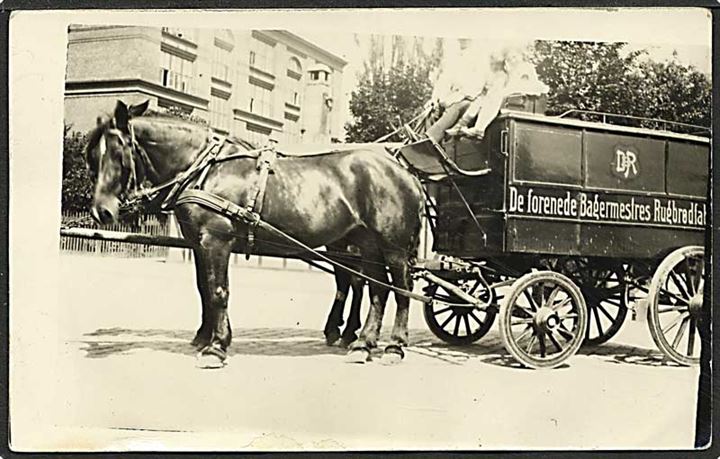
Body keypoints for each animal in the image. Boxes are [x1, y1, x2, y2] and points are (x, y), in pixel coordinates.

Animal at [85, 99, 424, 366]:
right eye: (92, 156)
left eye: (117, 153)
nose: (102, 211)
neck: (206, 170)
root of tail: (403, 170)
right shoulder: (198, 243)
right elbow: (204, 288)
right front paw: (205, 337)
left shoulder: (216, 240)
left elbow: (218, 290)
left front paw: (216, 347)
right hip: (367, 244)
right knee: (376, 288)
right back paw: (362, 344)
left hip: (392, 246)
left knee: (400, 288)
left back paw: (393, 346)